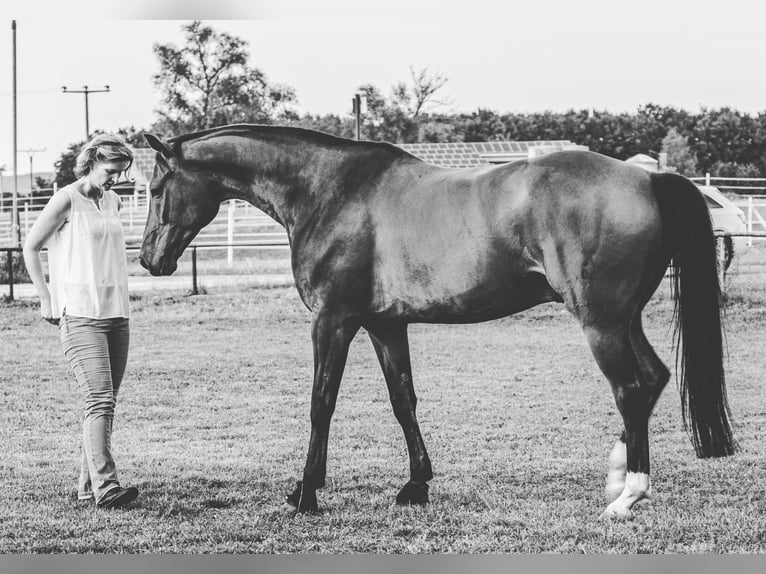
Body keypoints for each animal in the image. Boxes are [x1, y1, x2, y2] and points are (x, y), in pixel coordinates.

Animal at [140, 124, 736, 520]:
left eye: (153, 189)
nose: (150, 260)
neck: (331, 191)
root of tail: (648, 178)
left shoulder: (333, 321)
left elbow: (321, 402)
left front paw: (306, 493)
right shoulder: (384, 325)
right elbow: (403, 400)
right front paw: (416, 486)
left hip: (602, 324)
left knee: (631, 388)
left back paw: (628, 496)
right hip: (623, 319)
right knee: (653, 379)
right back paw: (619, 477)